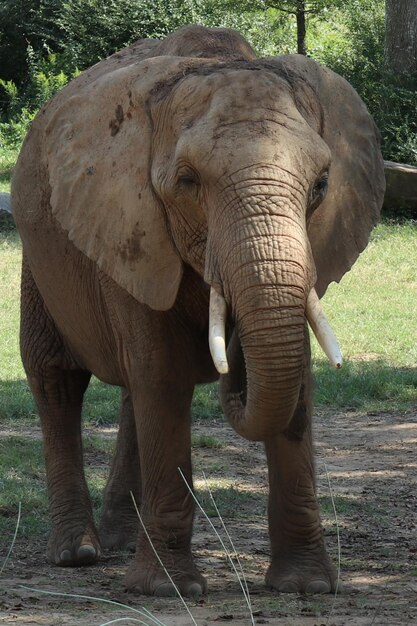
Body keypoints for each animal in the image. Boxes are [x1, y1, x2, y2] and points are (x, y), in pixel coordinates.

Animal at [12, 24, 384, 592]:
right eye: (188, 182)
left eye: (321, 184)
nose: (233, 361)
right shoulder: (129, 227)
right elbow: (163, 373)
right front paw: (168, 590)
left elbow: (295, 376)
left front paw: (305, 587)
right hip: (37, 252)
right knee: (58, 378)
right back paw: (78, 553)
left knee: (130, 388)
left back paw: (123, 541)